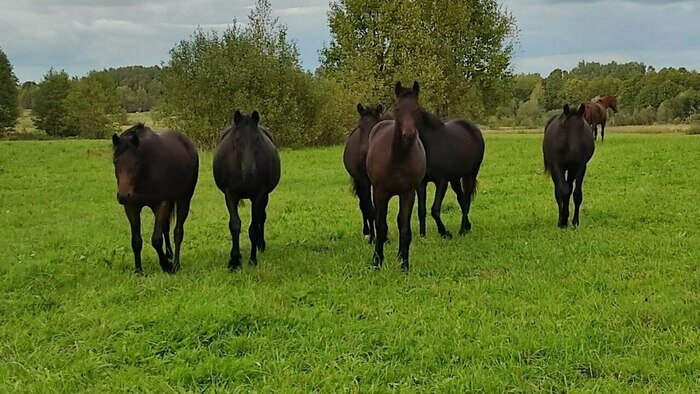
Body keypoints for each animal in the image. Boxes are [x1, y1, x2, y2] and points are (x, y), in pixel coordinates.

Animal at [111, 123, 200, 274]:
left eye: (136, 162)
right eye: (116, 162)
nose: (123, 195)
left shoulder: (161, 204)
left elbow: (156, 240)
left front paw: (167, 266)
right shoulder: (131, 207)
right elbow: (136, 241)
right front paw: (139, 270)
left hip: (184, 199)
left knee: (178, 231)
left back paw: (175, 264)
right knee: (166, 228)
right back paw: (169, 255)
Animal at [213, 111, 282, 270]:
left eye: (257, 138)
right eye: (237, 139)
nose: (249, 172)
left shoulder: (259, 194)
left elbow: (254, 228)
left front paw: (252, 260)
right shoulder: (230, 194)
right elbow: (235, 225)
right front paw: (234, 261)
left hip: (264, 197)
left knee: (262, 217)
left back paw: (261, 245)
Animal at [344, 103, 388, 242]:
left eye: (376, 126)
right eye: (360, 127)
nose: (365, 152)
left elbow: (380, 210)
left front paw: (384, 236)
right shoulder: (364, 182)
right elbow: (369, 209)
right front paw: (373, 238)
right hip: (358, 182)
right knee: (363, 205)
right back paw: (366, 232)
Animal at [366, 80, 426, 270]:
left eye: (416, 108)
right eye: (398, 108)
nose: (409, 135)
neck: (397, 160)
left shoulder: (408, 193)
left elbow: (404, 226)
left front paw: (404, 264)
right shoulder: (380, 193)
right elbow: (381, 225)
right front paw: (377, 261)